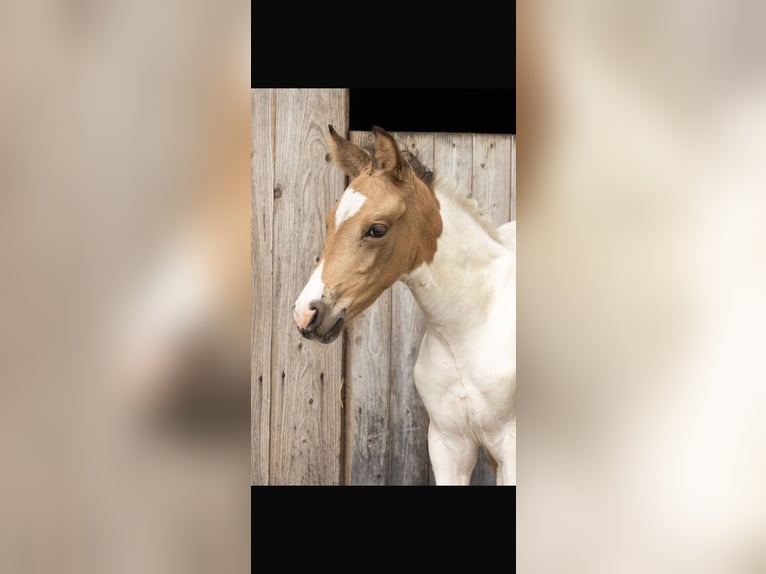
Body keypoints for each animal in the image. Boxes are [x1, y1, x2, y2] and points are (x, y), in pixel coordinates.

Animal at [293, 125, 516, 485]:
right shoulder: (448, 444)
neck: (470, 326)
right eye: (330, 221)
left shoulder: (510, 447)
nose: (306, 313)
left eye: (377, 229)